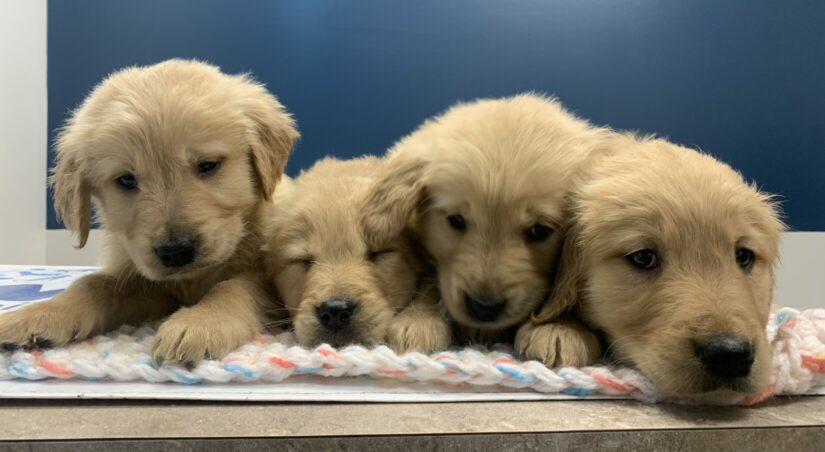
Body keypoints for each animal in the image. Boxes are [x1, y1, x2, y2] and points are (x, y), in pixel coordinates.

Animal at [0, 60, 296, 364]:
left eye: (208, 165)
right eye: (126, 180)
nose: (176, 252)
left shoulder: (265, 279)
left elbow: (235, 286)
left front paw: (200, 322)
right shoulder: (146, 285)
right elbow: (94, 283)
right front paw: (39, 314)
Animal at [362, 94, 612, 360]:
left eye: (539, 231)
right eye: (456, 220)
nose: (483, 307)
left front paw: (561, 327)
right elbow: (430, 283)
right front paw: (419, 319)